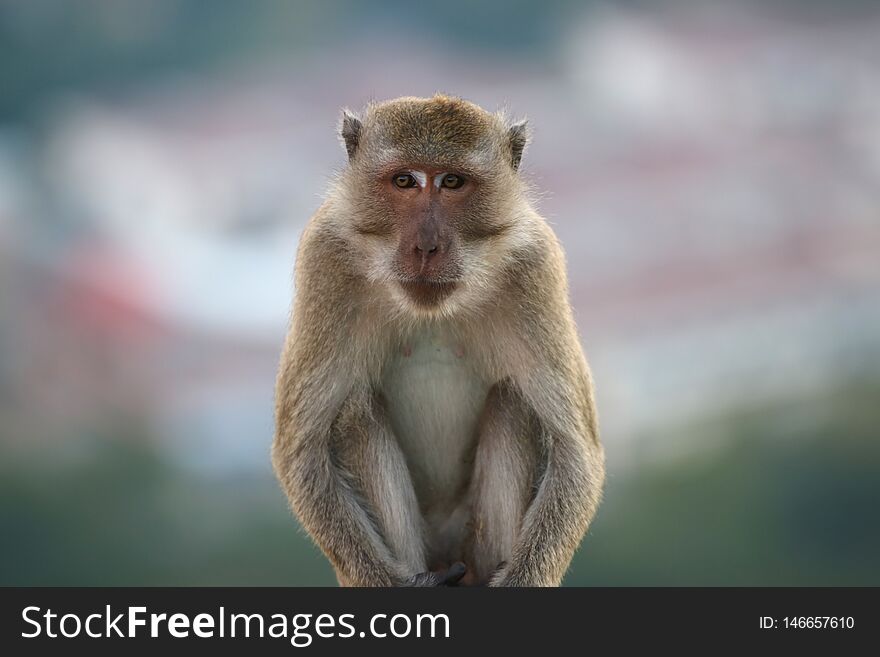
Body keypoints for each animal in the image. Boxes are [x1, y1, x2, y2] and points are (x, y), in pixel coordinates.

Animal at [274, 91, 604, 584]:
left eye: (451, 182)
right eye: (405, 181)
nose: (426, 246)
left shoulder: (535, 264)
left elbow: (575, 449)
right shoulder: (326, 257)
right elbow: (302, 452)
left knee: (514, 403)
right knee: (354, 410)